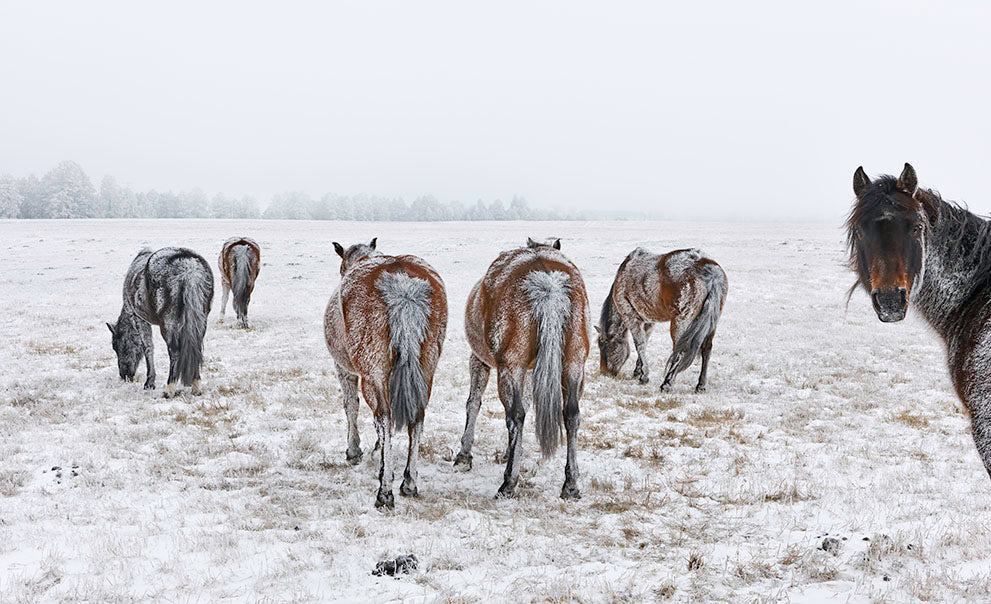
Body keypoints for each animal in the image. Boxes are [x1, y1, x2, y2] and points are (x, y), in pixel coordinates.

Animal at [107, 247, 214, 398]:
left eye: (116, 346)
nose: (125, 375)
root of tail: (189, 269)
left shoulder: (139, 318)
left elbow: (148, 348)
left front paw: (149, 382)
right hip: (201, 319)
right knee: (197, 347)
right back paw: (196, 386)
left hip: (168, 324)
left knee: (174, 352)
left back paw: (169, 389)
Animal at [323, 238, 448, 508]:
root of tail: (403, 289)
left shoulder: (344, 369)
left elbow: (351, 406)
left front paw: (355, 451)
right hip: (426, 369)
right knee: (417, 418)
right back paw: (409, 482)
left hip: (374, 375)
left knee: (384, 417)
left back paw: (385, 491)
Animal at [453, 237, 590, 500]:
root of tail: (549, 283)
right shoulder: (529, 370)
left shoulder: (480, 360)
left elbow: (473, 403)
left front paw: (464, 455)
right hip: (574, 363)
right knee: (571, 414)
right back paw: (570, 484)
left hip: (510, 366)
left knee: (516, 415)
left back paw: (509, 482)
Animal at [597, 248, 728, 392]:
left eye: (603, 346)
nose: (604, 373)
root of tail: (711, 271)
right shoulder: (648, 321)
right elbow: (644, 343)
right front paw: (638, 371)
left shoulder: (630, 316)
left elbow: (639, 345)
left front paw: (644, 376)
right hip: (711, 323)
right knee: (706, 350)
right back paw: (700, 385)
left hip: (681, 322)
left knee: (680, 350)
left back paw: (667, 383)